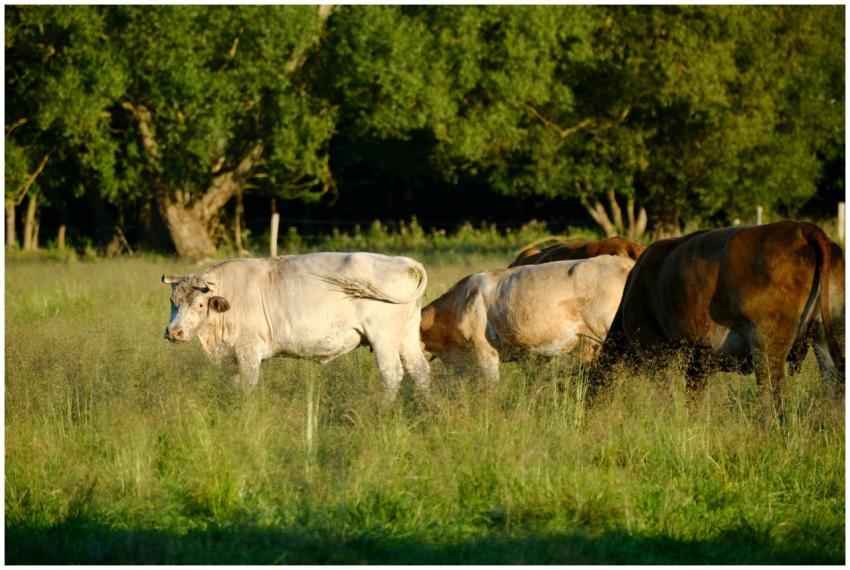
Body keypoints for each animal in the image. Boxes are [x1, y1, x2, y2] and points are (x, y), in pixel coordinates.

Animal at [161, 252, 431, 402]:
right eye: (172, 301)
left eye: (199, 304)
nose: (174, 332)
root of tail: (404, 262)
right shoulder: (232, 357)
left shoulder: (249, 352)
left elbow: (247, 385)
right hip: (406, 337)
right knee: (420, 371)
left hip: (384, 338)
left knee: (392, 374)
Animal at [595, 220, 845, 408]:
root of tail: (800, 229)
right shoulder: (697, 363)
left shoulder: (656, 352)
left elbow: (668, 395)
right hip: (828, 339)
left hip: (767, 346)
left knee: (774, 396)